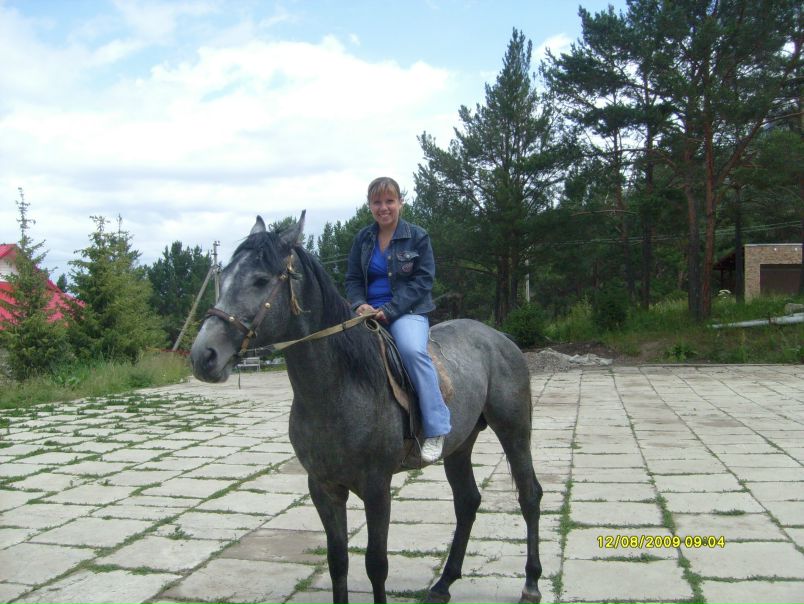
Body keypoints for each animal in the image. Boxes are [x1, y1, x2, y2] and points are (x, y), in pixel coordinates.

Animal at [190, 214, 543, 604]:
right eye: (224, 278)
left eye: (260, 280)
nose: (204, 356)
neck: (340, 388)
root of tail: (499, 338)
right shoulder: (324, 487)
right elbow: (338, 561)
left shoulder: (377, 488)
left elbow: (376, 564)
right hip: (459, 445)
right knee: (467, 502)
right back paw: (443, 584)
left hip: (514, 431)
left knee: (529, 495)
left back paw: (531, 584)